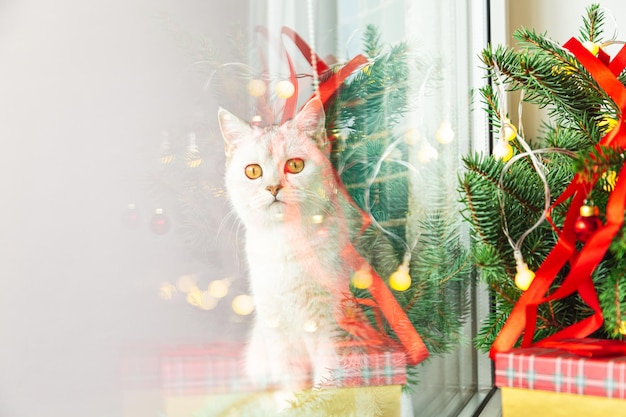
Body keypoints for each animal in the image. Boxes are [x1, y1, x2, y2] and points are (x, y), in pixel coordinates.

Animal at [216, 96, 354, 390]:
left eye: (295, 166)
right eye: (253, 171)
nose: (273, 187)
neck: (284, 244)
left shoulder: (330, 322)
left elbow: (327, 375)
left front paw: (322, 395)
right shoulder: (276, 326)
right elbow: (290, 379)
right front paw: (292, 398)